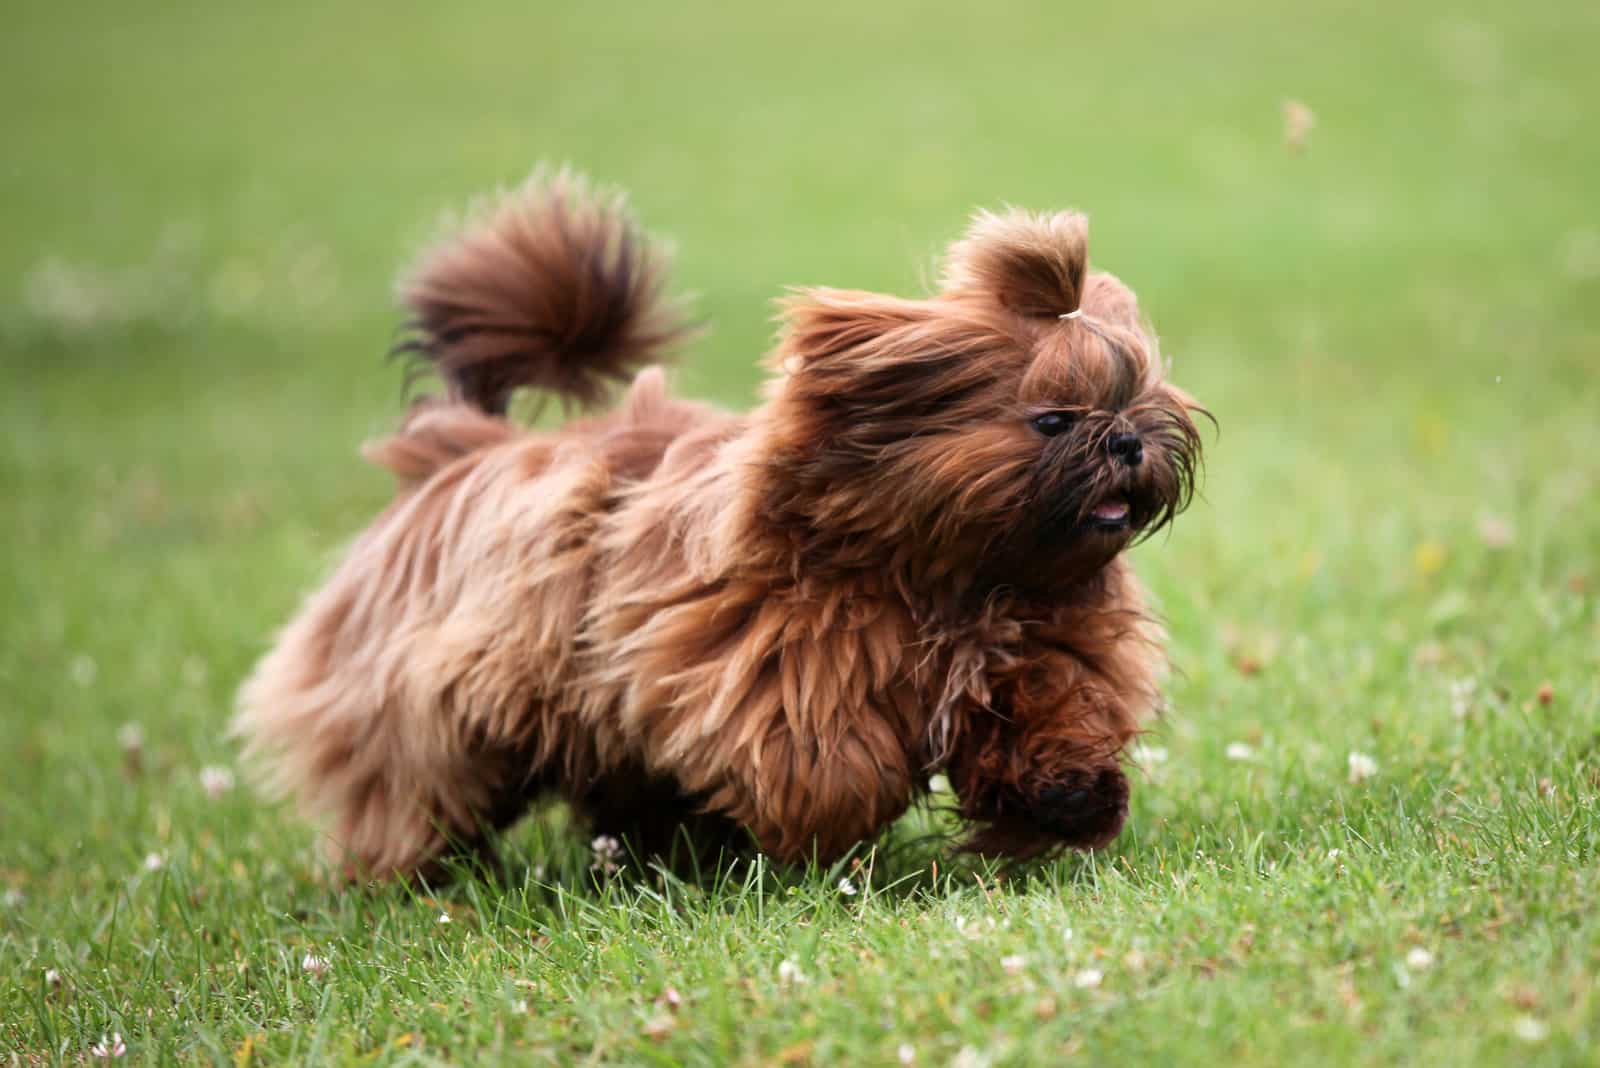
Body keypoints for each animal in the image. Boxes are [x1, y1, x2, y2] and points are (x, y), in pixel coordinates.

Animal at [233, 173, 1203, 876]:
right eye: (1051, 419)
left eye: (1134, 401)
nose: (1126, 441)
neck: (950, 576)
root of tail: (456, 448)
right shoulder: (770, 659)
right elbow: (826, 760)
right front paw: (834, 829)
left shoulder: (1041, 643)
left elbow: (1051, 714)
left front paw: (1071, 795)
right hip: (430, 705)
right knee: (411, 785)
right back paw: (419, 878)